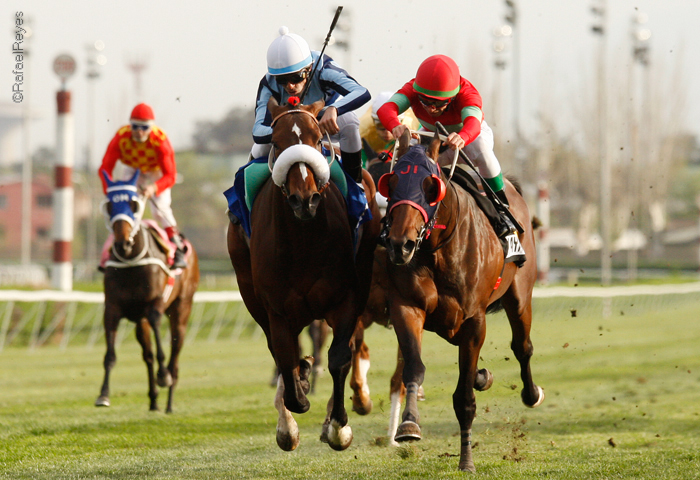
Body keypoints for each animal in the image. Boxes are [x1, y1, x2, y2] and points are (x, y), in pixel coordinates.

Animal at [95, 170, 200, 413]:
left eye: (133, 205)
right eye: (110, 206)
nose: (122, 243)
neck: (132, 261)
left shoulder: (154, 304)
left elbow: (161, 345)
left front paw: (164, 376)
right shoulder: (112, 308)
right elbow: (110, 355)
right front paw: (103, 394)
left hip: (182, 309)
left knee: (175, 352)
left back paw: (169, 400)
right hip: (139, 321)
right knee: (148, 355)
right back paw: (153, 400)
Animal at [226, 96, 381, 452]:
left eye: (316, 139)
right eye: (277, 142)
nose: (304, 200)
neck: (303, 241)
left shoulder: (347, 299)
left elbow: (340, 358)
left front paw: (338, 428)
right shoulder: (278, 310)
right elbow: (286, 362)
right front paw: (292, 417)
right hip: (251, 293)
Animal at [377, 129, 544, 472]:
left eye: (431, 186)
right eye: (391, 181)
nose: (400, 244)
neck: (437, 248)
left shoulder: (473, 320)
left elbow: (464, 398)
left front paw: (466, 460)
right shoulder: (406, 307)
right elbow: (413, 369)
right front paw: (409, 424)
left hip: (519, 297)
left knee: (522, 346)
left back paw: (531, 393)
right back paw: (483, 376)